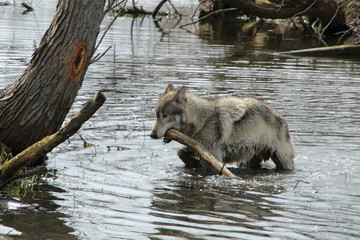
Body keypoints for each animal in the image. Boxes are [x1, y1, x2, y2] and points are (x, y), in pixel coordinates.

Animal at [150, 83, 294, 170]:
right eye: (156, 115)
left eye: (164, 115)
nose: (152, 135)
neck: (203, 121)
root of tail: (281, 118)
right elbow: (182, 153)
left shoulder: (214, 159)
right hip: (246, 162)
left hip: (284, 162)